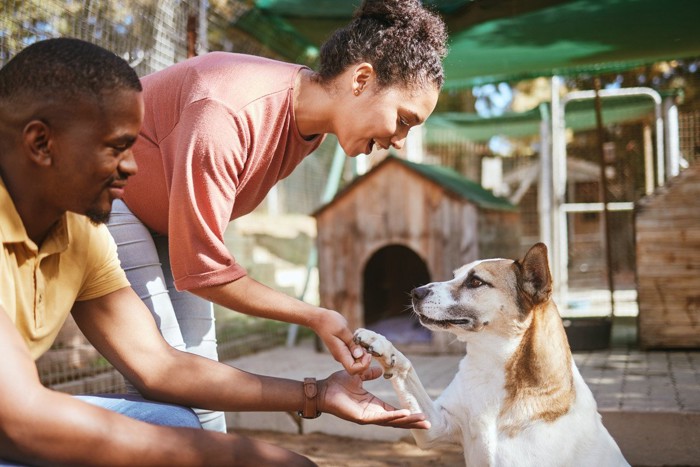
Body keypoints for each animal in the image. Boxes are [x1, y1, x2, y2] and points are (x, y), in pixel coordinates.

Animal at [356, 243, 628, 466]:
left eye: (476, 282)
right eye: (454, 276)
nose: (416, 292)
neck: (493, 366)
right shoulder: (436, 427)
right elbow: (406, 368)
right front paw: (380, 344)